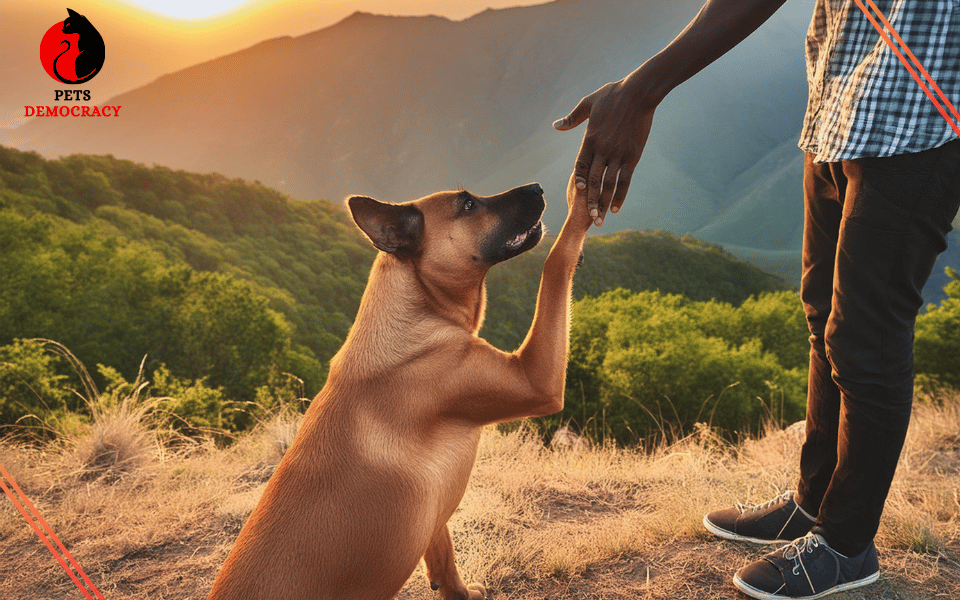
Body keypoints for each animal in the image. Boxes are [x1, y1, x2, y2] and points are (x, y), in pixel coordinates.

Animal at [206, 178, 588, 600]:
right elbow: (555, 263)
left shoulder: (433, 509)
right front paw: (582, 199)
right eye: (468, 205)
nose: (537, 187)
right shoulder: (534, 379)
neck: (417, 309)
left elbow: (444, 553)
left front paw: (457, 592)